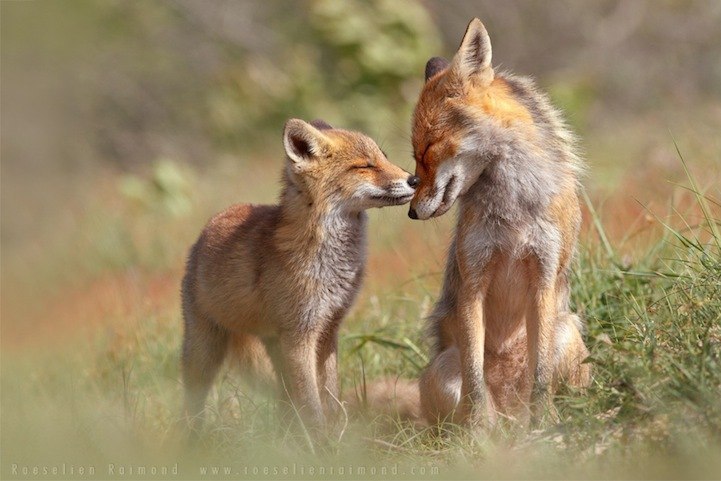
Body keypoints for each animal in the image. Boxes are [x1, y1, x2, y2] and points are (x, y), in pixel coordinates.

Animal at [408, 17, 588, 424]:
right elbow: (475, 381)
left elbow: (541, 376)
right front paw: (478, 433)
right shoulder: (473, 282)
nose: (410, 212)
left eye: (427, 150)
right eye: (414, 156)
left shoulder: (543, 278)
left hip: (568, 333)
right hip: (442, 369)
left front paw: (544, 426)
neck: (513, 211)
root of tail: (510, 413)